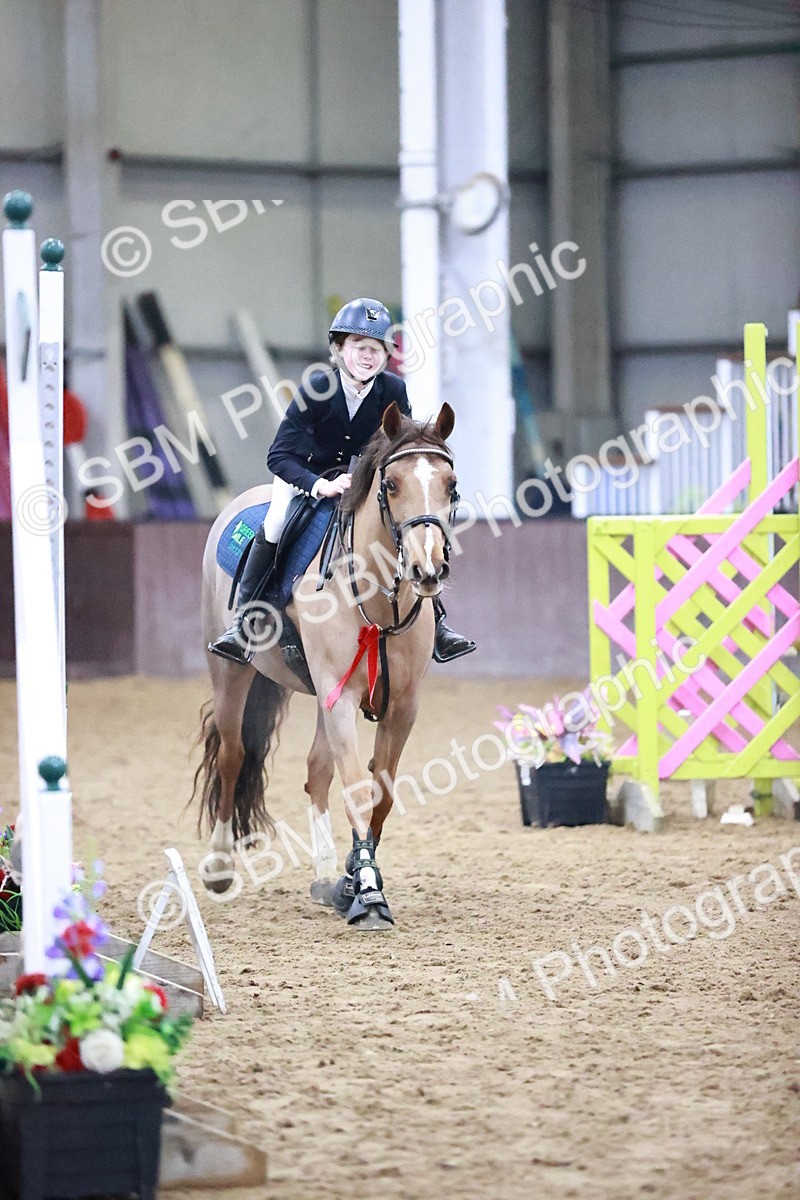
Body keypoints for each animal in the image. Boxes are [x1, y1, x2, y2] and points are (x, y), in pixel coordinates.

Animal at [192, 401, 459, 931]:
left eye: (451, 484)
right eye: (390, 484)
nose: (427, 571)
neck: (377, 599)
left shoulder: (402, 706)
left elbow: (380, 794)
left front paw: (352, 879)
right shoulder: (341, 698)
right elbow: (356, 789)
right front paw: (368, 893)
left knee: (316, 771)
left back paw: (322, 875)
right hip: (231, 672)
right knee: (232, 755)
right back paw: (220, 867)